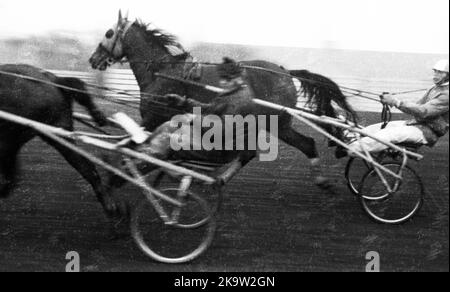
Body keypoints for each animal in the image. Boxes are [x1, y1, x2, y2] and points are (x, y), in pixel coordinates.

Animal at [89, 11, 356, 185]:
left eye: (109, 32)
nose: (93, 59)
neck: (163, 71)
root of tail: (284, 71)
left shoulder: (151, 118)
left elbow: (135, 144)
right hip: (278, 124)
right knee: (305, 144)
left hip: (273, 122)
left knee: (266, 150)